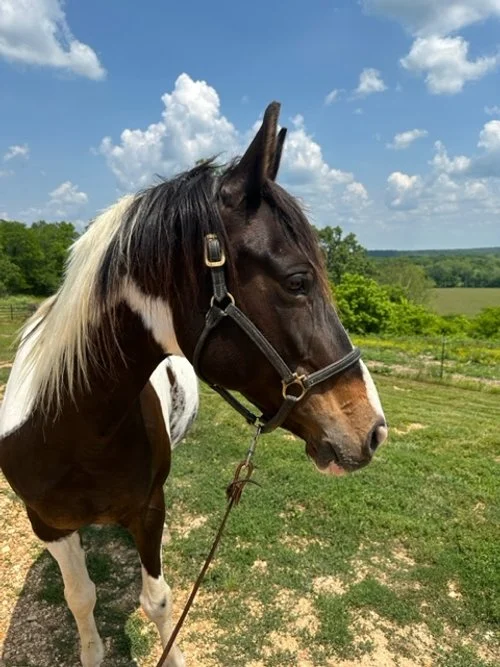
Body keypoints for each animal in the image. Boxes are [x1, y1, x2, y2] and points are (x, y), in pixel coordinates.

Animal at [0, 101, 387, 667]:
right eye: (298, 281)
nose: (373, 430)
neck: (75, 431)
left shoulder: (148, 509)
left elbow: (158, 599)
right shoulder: (48, 524)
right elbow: (80, 597)